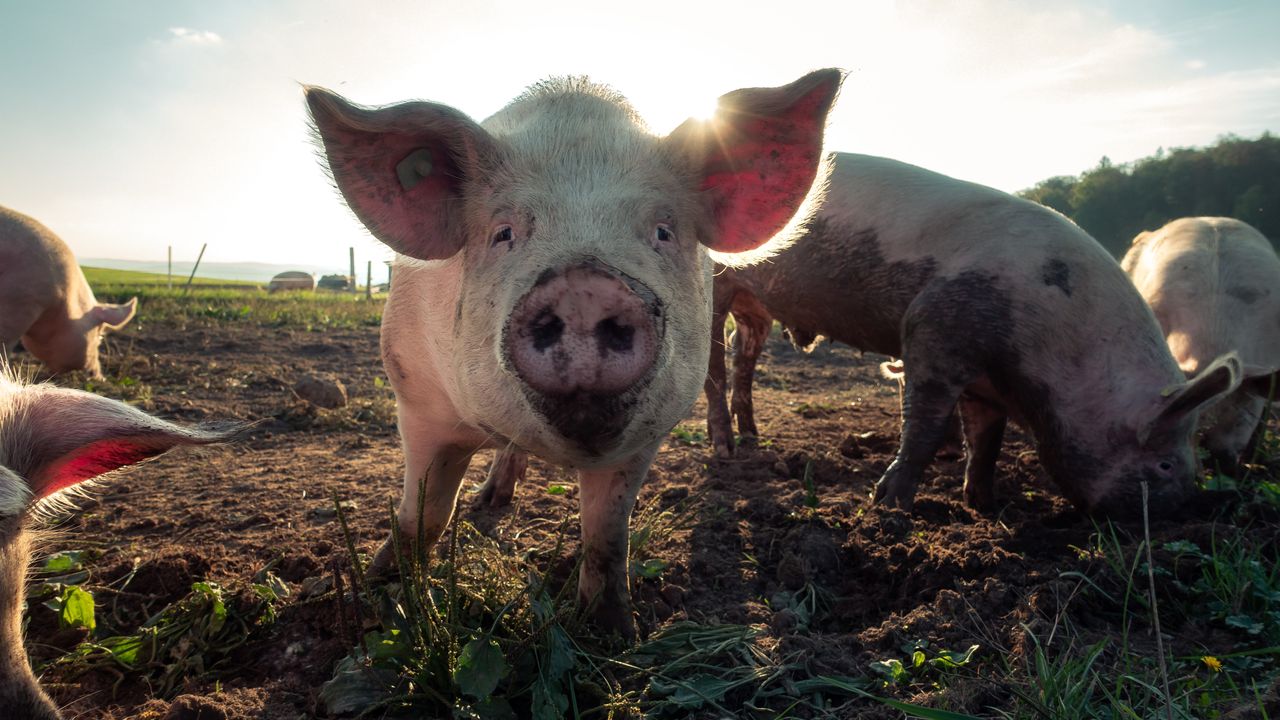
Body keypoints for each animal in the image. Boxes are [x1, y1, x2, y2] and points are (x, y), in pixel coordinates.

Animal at [305, 71, 844, 632]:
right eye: (504, 232)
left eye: (662, 231)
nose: (585, 286)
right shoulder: (416, 398)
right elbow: (424, 513)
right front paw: (380, 596)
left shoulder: (649, 433)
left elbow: (607, 533)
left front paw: (612, 632)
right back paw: (488, 502)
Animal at [706, 151, 1244, 512]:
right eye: (1165, 464)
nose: (1186, 512)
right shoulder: (933, 332)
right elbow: (923, 427)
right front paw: (888, 507)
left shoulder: (987, 383)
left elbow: (987, 439)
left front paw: (985, 504)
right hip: (717, 282)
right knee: (713, 364)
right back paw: (725, 449)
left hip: (757, 307)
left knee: (741, 353)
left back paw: (753, 438)